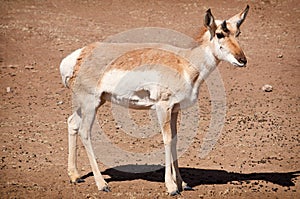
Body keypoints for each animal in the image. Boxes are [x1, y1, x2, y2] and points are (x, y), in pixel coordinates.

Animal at [59, 5, 250, 195]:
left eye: (238, 32)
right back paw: (102, 184)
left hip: (93, 102)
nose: (242, 60)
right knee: (84, 131)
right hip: (90, 104)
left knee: (72, 123)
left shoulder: (175, 110)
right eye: (219, 34)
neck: (184, 62)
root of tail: (78, 56)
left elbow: (175, 140)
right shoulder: (162, 107)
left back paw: (75, 176)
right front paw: (171, 187)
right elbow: (167, 140)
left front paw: (182, 183)